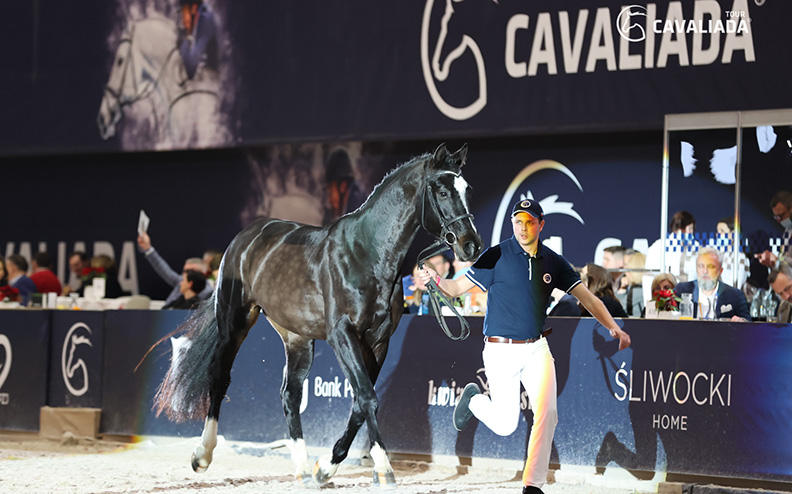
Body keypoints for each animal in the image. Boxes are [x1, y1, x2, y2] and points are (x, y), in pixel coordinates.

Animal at [153, 143, 484, 487]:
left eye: (467, 190)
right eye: (442, 191)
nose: (471, 246)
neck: (366, 254)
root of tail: (246, 237)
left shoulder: (378, 341)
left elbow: (359, 403)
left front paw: (325, 467)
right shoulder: (343, 335)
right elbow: (368, 398)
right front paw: (383, 468)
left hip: (297, 339)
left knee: (290, 394)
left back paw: (302, 468)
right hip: (234, 322)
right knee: (220, 377)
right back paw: (202, 455)